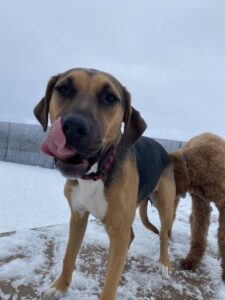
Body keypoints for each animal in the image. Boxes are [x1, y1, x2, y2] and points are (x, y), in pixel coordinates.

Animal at [33, 68, 176, 300]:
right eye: (63, 88)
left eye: (110, 98)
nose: (73, 127)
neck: (95, 174)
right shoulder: (78, 216)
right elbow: (68, 257)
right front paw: (60, 286)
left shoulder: (118, 228)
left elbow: (109, 285)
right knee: (130, 239)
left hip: (165, 206)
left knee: (163, 234)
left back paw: (164, 264)